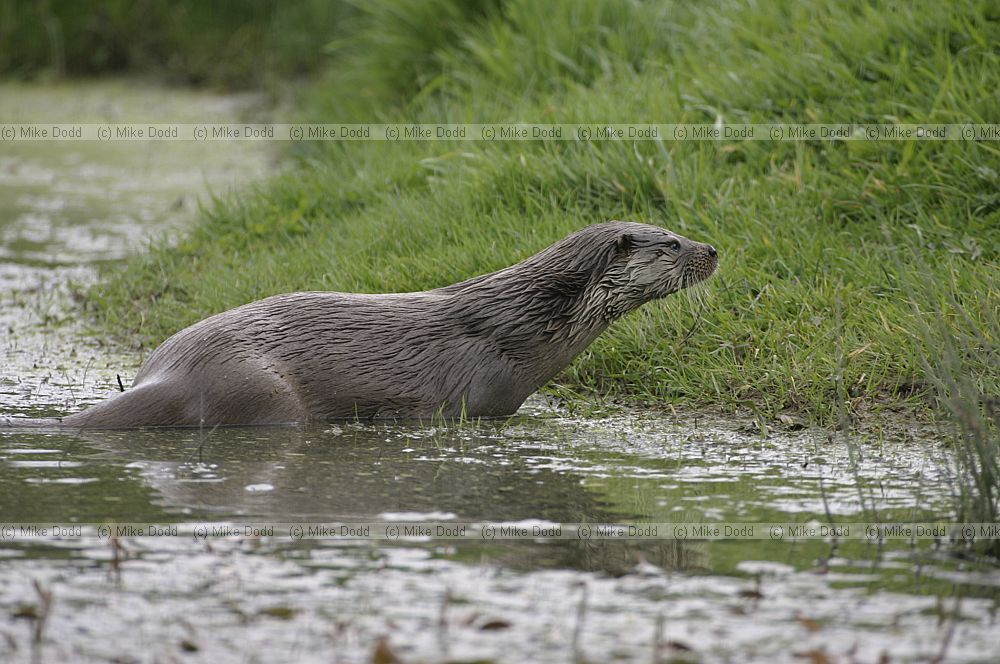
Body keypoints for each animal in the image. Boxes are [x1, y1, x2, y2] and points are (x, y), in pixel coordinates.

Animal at [4, 222, 717, 428]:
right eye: (672, 243)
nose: (713, 249)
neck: (519, 329)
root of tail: (168, 374)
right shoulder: (474, 397)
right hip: (263, 393)